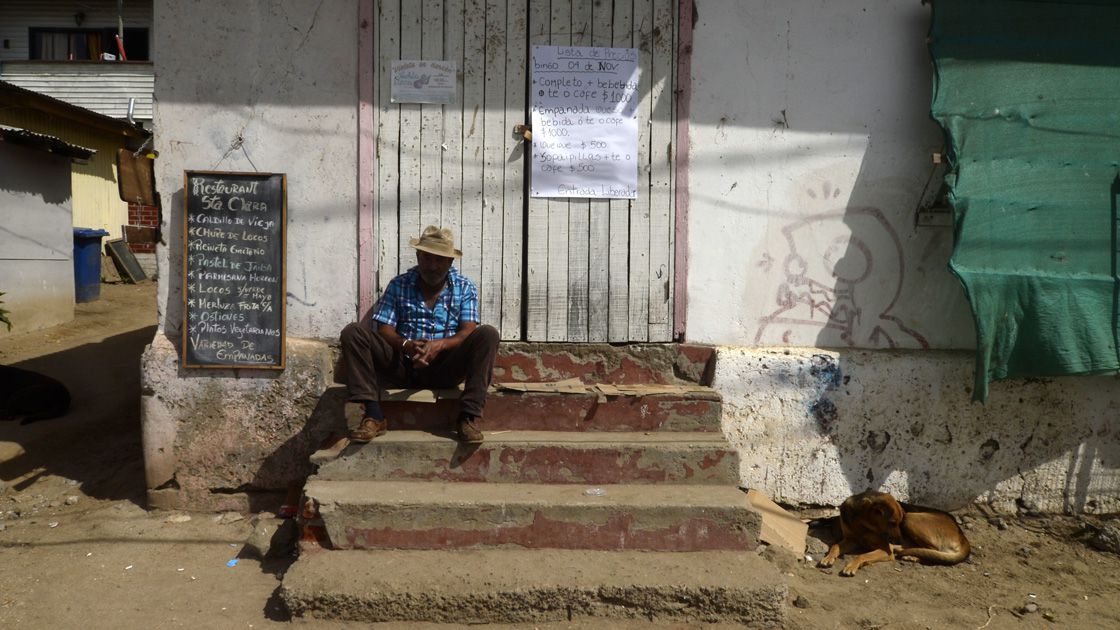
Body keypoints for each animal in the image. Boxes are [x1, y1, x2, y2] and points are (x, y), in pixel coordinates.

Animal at [819, 488, 967, 578]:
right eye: (892, 523)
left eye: (898, 523)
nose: (899, 540)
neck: (862, 523)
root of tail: (962, 536)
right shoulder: (851, 540)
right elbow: (835, 546)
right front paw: (828, 558)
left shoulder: (885, 550)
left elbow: (862, 556)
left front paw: (851, 566)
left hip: (910, 518)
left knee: (933, 549)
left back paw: (909, 554)